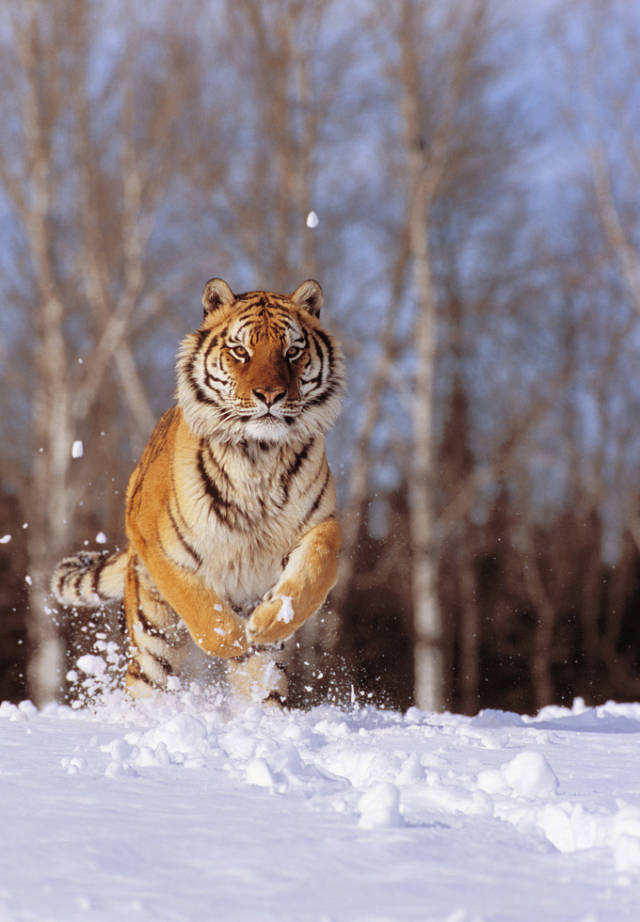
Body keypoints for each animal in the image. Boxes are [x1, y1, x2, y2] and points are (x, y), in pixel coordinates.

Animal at [51, 276, 344, 700]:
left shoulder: (322, 522)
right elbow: (201, 608)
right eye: (240, 351)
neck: (259, 455)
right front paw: (235, 638)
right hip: (151, 637)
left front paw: (269, 621)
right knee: (146, 677)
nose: (270, 395)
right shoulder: (158, 543)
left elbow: (314, 570)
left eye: (292, 351)